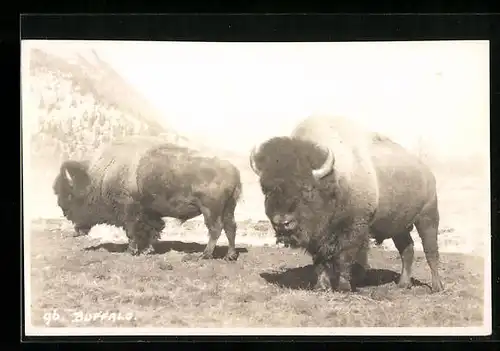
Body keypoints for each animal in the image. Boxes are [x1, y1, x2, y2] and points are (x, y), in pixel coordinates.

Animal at [52, 135, 242, 262]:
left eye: (70, 194)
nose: (64, 212)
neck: (100, 176)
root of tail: (233, 170)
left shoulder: (129, 210)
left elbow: (133, 231)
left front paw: (131, 251)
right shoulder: (149, 212)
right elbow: (153, 230)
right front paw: (147, 251)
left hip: (210, 210)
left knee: (216, 229)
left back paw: (205, 255)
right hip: (228, 209)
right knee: (230, 227)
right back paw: (230, 256)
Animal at [250, 115, 446, 294]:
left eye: (307, 188)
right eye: (266, 190)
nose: (282, 223)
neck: (335, 179)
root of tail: (427, 172)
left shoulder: (354, 229)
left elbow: (344, 258)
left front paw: (344, 287)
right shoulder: (318, 238)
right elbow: (320, 261)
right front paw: (321, 287)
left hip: (428, 217)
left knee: (430, 251)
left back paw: (437, 287)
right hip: (398, 227)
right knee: (407, 249)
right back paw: (403, 284)